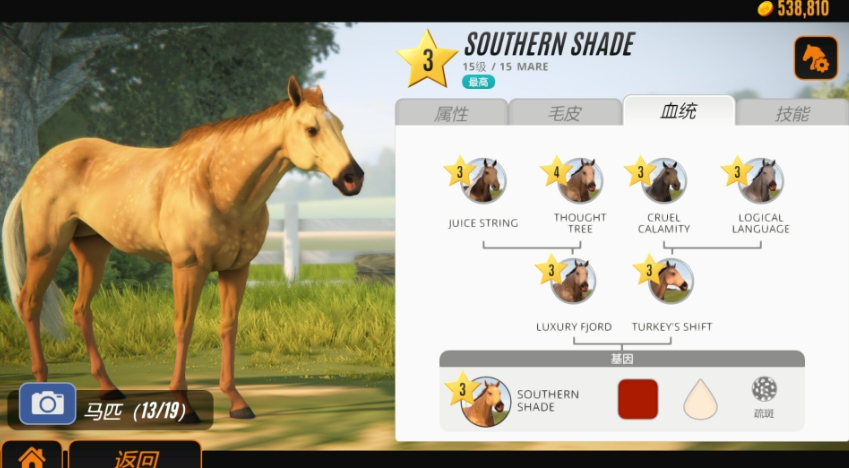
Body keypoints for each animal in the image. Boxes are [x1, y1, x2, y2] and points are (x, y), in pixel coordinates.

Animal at [2, 75, 363, 421]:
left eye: (341, 126)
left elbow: (228, 327)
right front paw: (184, 407)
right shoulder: (188, 267)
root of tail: (38, 168)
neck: (217, 185)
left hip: (92, 250)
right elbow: (183, 327)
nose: (353, 178)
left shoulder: (236, 269)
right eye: (311, 129)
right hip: (46, 250)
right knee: (29, 304)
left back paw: (109, 388)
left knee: (80, 310)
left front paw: (237, 402)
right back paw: (43, 389)